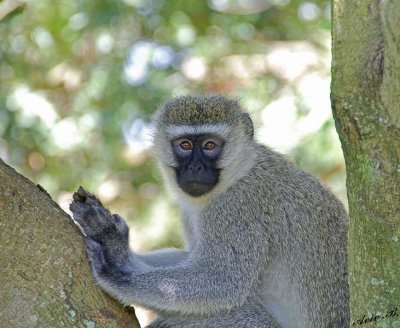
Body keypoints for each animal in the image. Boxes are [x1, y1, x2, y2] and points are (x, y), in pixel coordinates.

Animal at [70, 93, 348, 326]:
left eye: (210, 145)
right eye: (184, 145)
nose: (196, 167)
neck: (239, 174)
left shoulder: (237, 208)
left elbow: (222, 281)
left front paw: (115, 269)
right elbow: (190, 260)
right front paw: (109, 236)